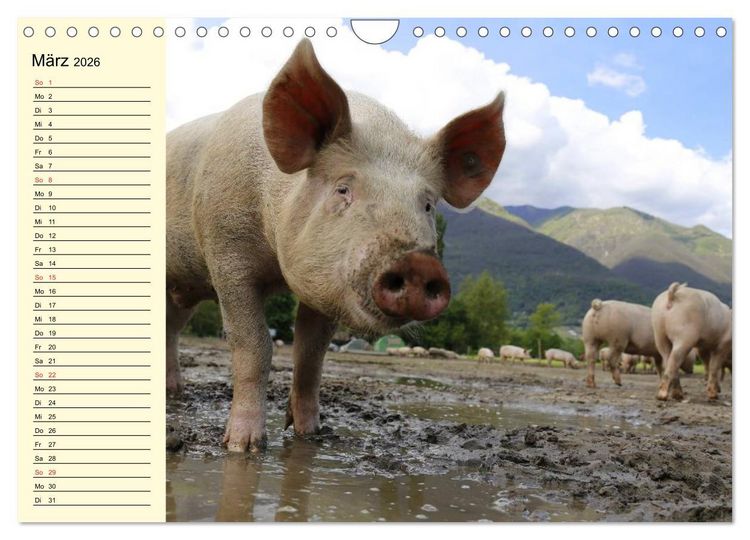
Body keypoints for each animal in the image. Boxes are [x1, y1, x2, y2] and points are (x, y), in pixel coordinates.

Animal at [165, 39, 507, 451]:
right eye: (343, 189)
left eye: (427, 204)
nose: (418, 264)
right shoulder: (227, 256)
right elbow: (254, 346)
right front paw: (243, 446)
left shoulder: (326, 285)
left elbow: (311, 356)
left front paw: (312, 435)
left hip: (183, 290)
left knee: (172, 329)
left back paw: (175, 391)